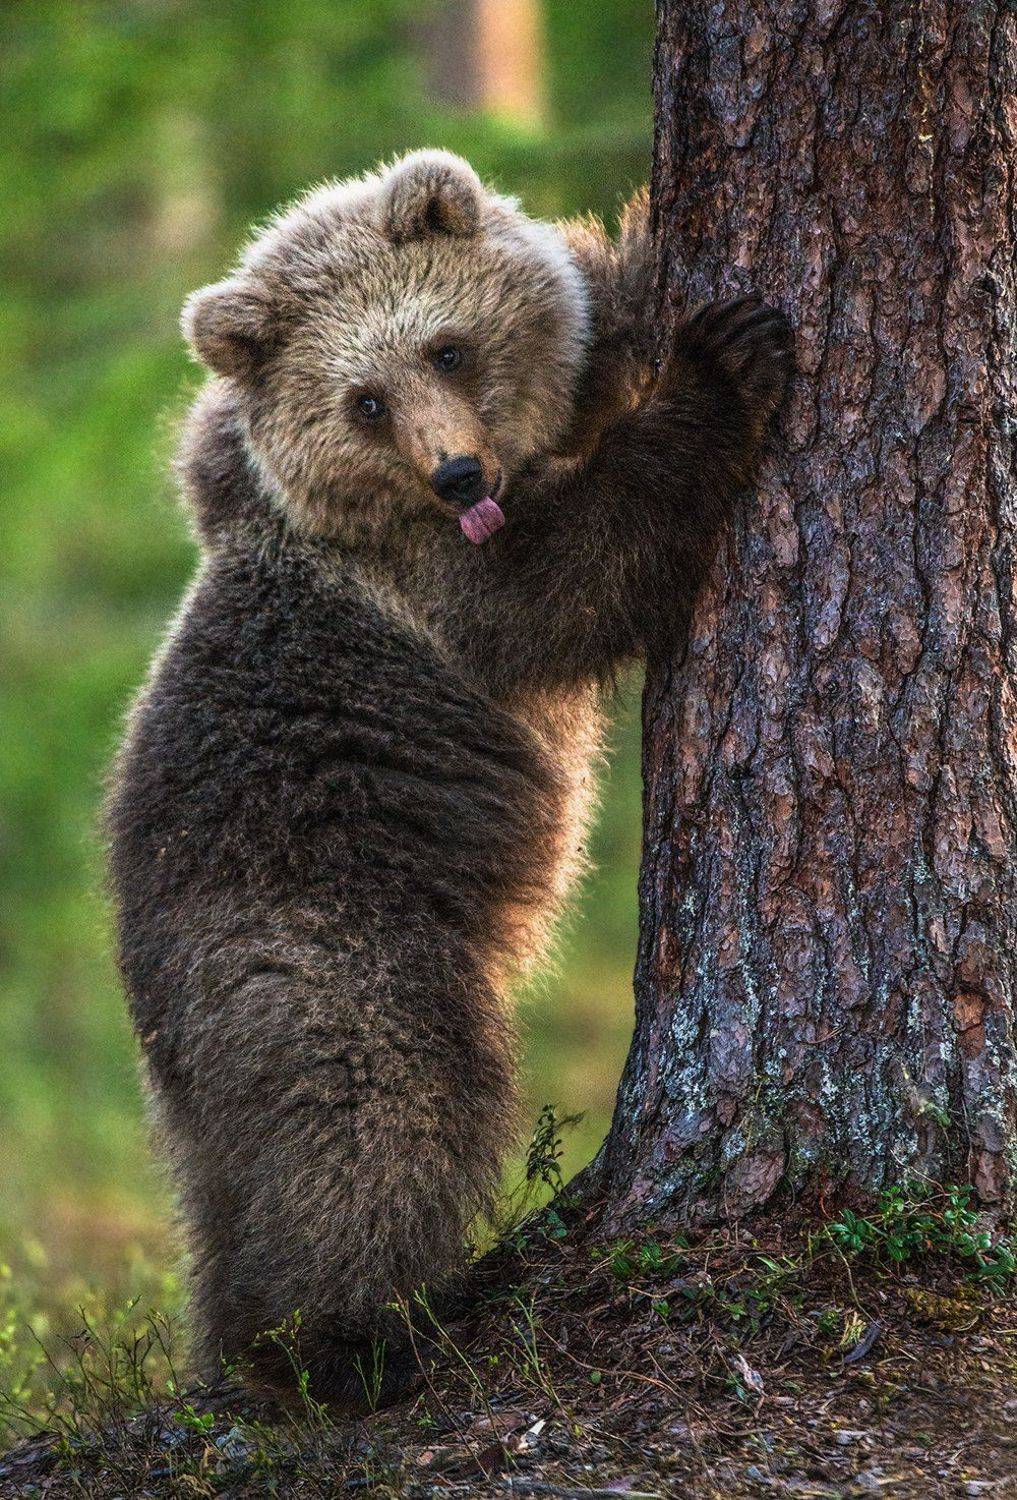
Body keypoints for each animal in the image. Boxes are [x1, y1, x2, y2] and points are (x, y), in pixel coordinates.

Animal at [106, 149, 792, 1403]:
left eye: (447, 349)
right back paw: (349, 1341)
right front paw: (727, 359)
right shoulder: (433, 587)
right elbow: (575, 576)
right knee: (377, 1120)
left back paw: (242, 1345)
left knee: (232, 1189)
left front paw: (640, 258)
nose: (459, 469)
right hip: (327, 950)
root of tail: (155, 1006)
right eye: (362, 401)